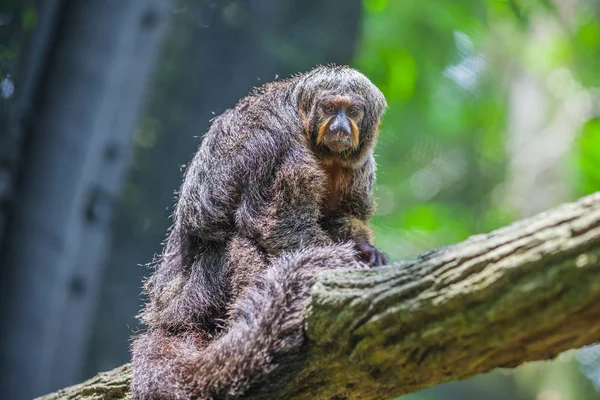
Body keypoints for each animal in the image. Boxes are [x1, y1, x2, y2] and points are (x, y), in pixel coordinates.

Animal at [130, 64, 390, 398]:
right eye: (330, 109)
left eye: (353, 111)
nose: (341, 127)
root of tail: (164, 315)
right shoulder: (278, 141)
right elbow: (274, 224)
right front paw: (347, 261)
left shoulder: (358, 164)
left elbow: (341, 215)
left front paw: (366, 250)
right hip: (196, 297)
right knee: (237, 242)